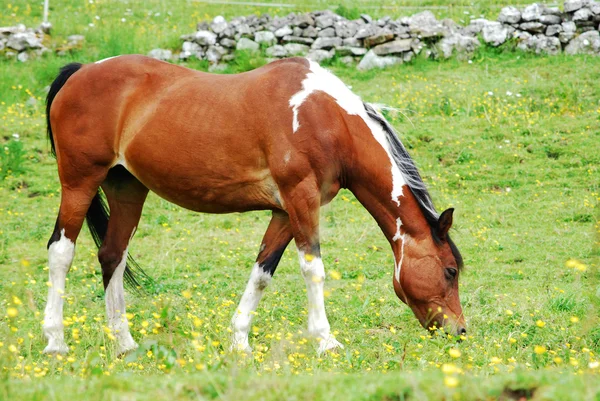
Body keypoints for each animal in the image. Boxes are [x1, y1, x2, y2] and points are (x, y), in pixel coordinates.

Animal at [44, 54, 466, 354]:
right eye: (450, 271)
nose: (459, 330)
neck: (326, 118)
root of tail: (81, 71)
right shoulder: (302, 200)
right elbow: (313, 270)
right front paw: (326, 341)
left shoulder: (285, 210)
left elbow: (263, 272)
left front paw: (239, 341)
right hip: (80, 182)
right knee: (61, 252)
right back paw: (55, 342)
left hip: (127, 188)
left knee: (112, 255)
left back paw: (124, 344)